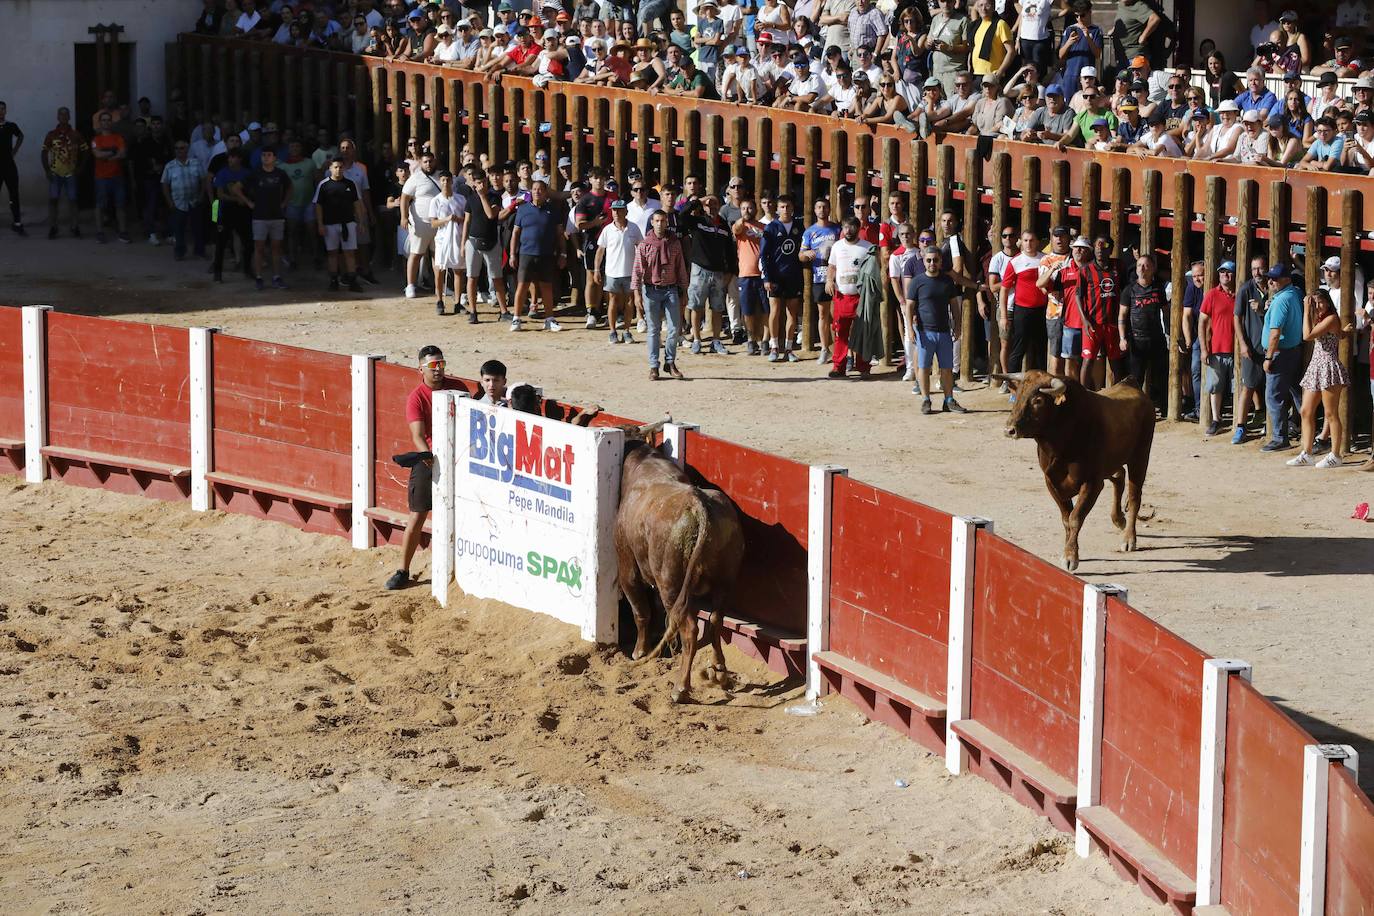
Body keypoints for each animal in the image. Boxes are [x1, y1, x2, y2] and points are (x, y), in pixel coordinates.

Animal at [994, 373, 1154, 574]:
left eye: (1038, 400)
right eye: (1017, 395)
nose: (1009, 430)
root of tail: (1131, 383)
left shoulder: (1092, 483)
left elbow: (1075, 518)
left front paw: (1070, 557)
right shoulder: (1051, 481)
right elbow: (1065, 519)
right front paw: (1067, 551)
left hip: (1140, 457)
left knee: (1134, 497)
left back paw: (1129, 538)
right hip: (1112, 462)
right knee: (1119, 476)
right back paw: (1118, 520)